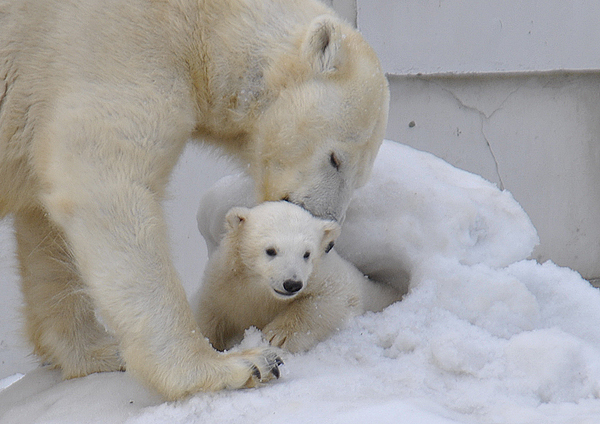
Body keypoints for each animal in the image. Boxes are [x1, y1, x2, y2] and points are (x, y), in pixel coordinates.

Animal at [0, 0, 390, 400]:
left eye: (360, 178)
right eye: (336, 158)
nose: (327, 233)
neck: (203, 23)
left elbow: (45, 233)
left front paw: (97, 352)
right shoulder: (109, 51)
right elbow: (107, 189)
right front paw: (237, 365)